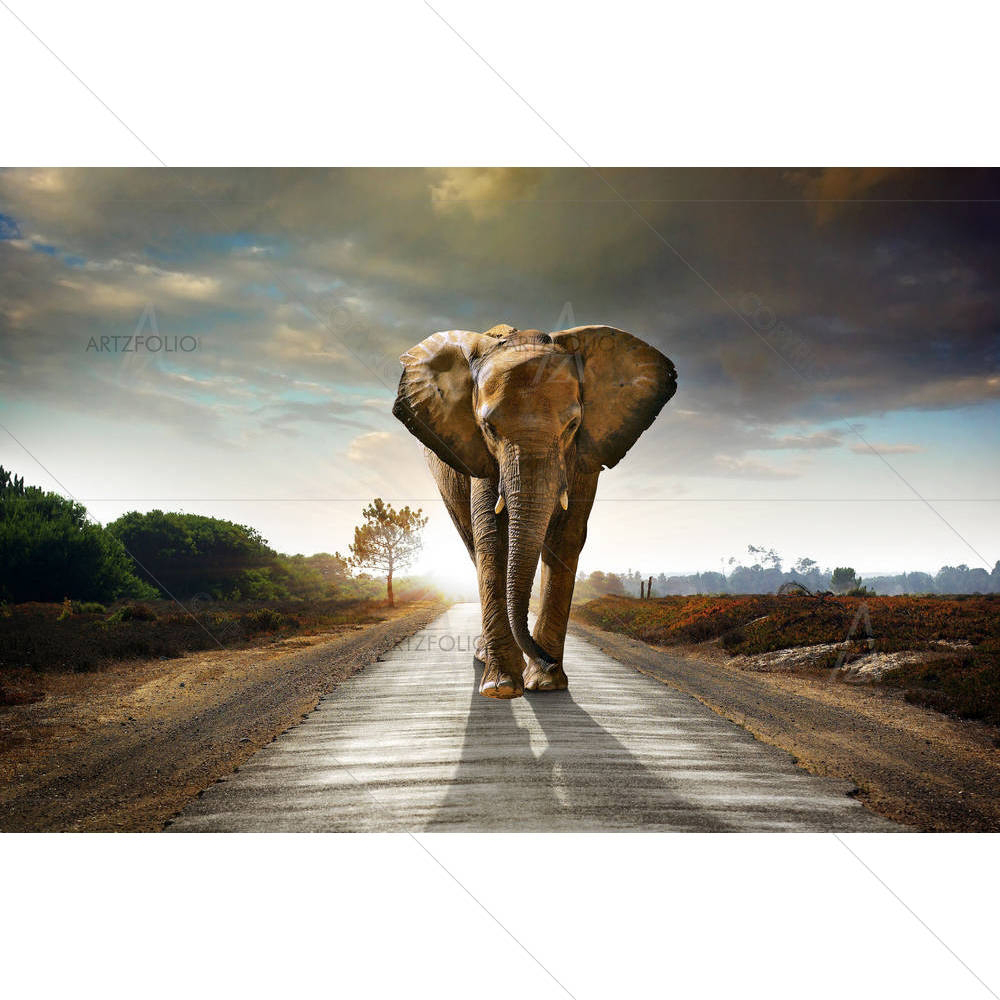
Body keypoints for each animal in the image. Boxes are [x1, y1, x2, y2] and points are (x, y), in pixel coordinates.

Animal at [393, 323, 676, 699]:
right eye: (488, 428)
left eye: (572, 425)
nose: (547, 660)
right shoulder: (480, 454)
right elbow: (493, 538)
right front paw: (501, 688)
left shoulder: (584, 454)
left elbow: (567, 536)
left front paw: (545, 684)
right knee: (472, 544)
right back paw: (485, 658)